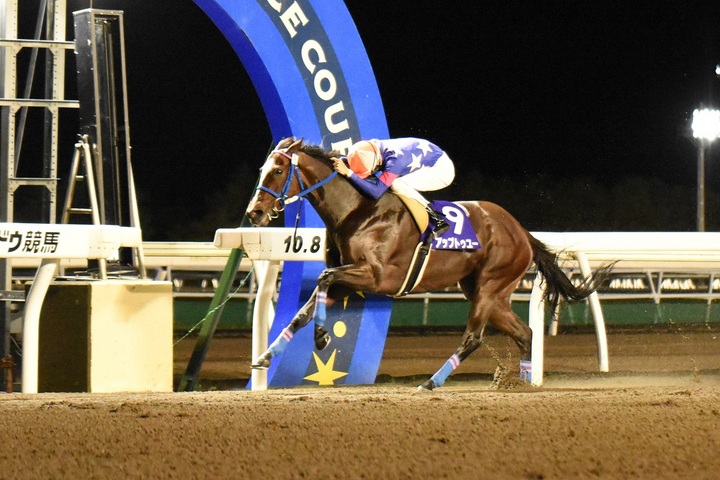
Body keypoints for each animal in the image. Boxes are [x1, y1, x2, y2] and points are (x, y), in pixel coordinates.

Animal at [245, 137, 610, 391]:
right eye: (262, 170)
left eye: (278, 170)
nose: (253, 212)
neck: (357, 209)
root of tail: (522, 232)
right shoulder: (349, 279)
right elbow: (306, 307)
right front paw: (267, 355)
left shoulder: (377, 276)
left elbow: (323, 277)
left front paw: (321, 336)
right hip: (488, 291)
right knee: (524, 333)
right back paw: (520, 383)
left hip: (490, 285)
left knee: (473, 338)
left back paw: (431, 382)